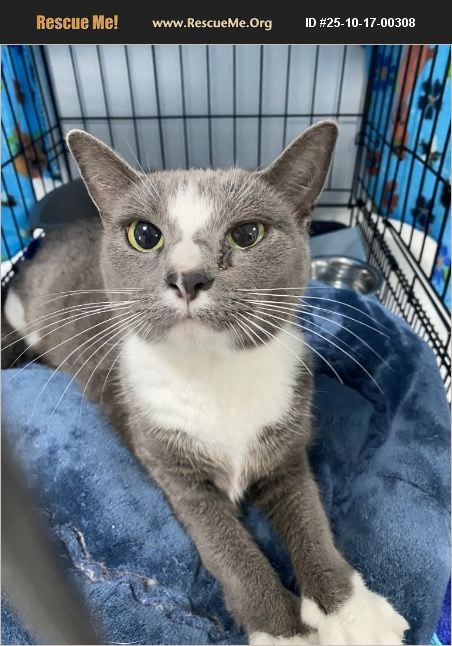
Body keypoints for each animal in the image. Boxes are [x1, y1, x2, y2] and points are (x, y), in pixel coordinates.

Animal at [3, 122, 409, 645]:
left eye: (248, 233)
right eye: (145, 235)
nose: (187, 277)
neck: (214, 373)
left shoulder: (286, 444)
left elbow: (310, 517)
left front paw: (353, 611)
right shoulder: (172, 467)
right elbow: (226, 546)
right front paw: (285, 631)